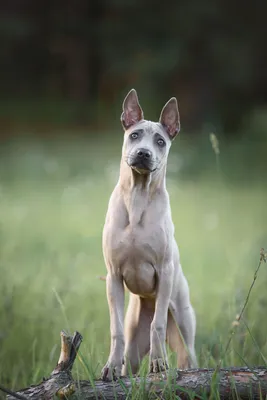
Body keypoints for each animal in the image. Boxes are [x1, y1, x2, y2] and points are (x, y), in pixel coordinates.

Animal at [101, 89, 198, 380]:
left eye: (160, 141)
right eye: (134, 135)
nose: (143, 153)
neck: (138, 197)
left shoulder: (164, 271)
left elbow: (157, 324)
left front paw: (158, 362)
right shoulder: (113, 277)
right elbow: (116, 329)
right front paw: (110, 365)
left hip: (184, 326)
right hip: (134, 345)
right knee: (130, 356)